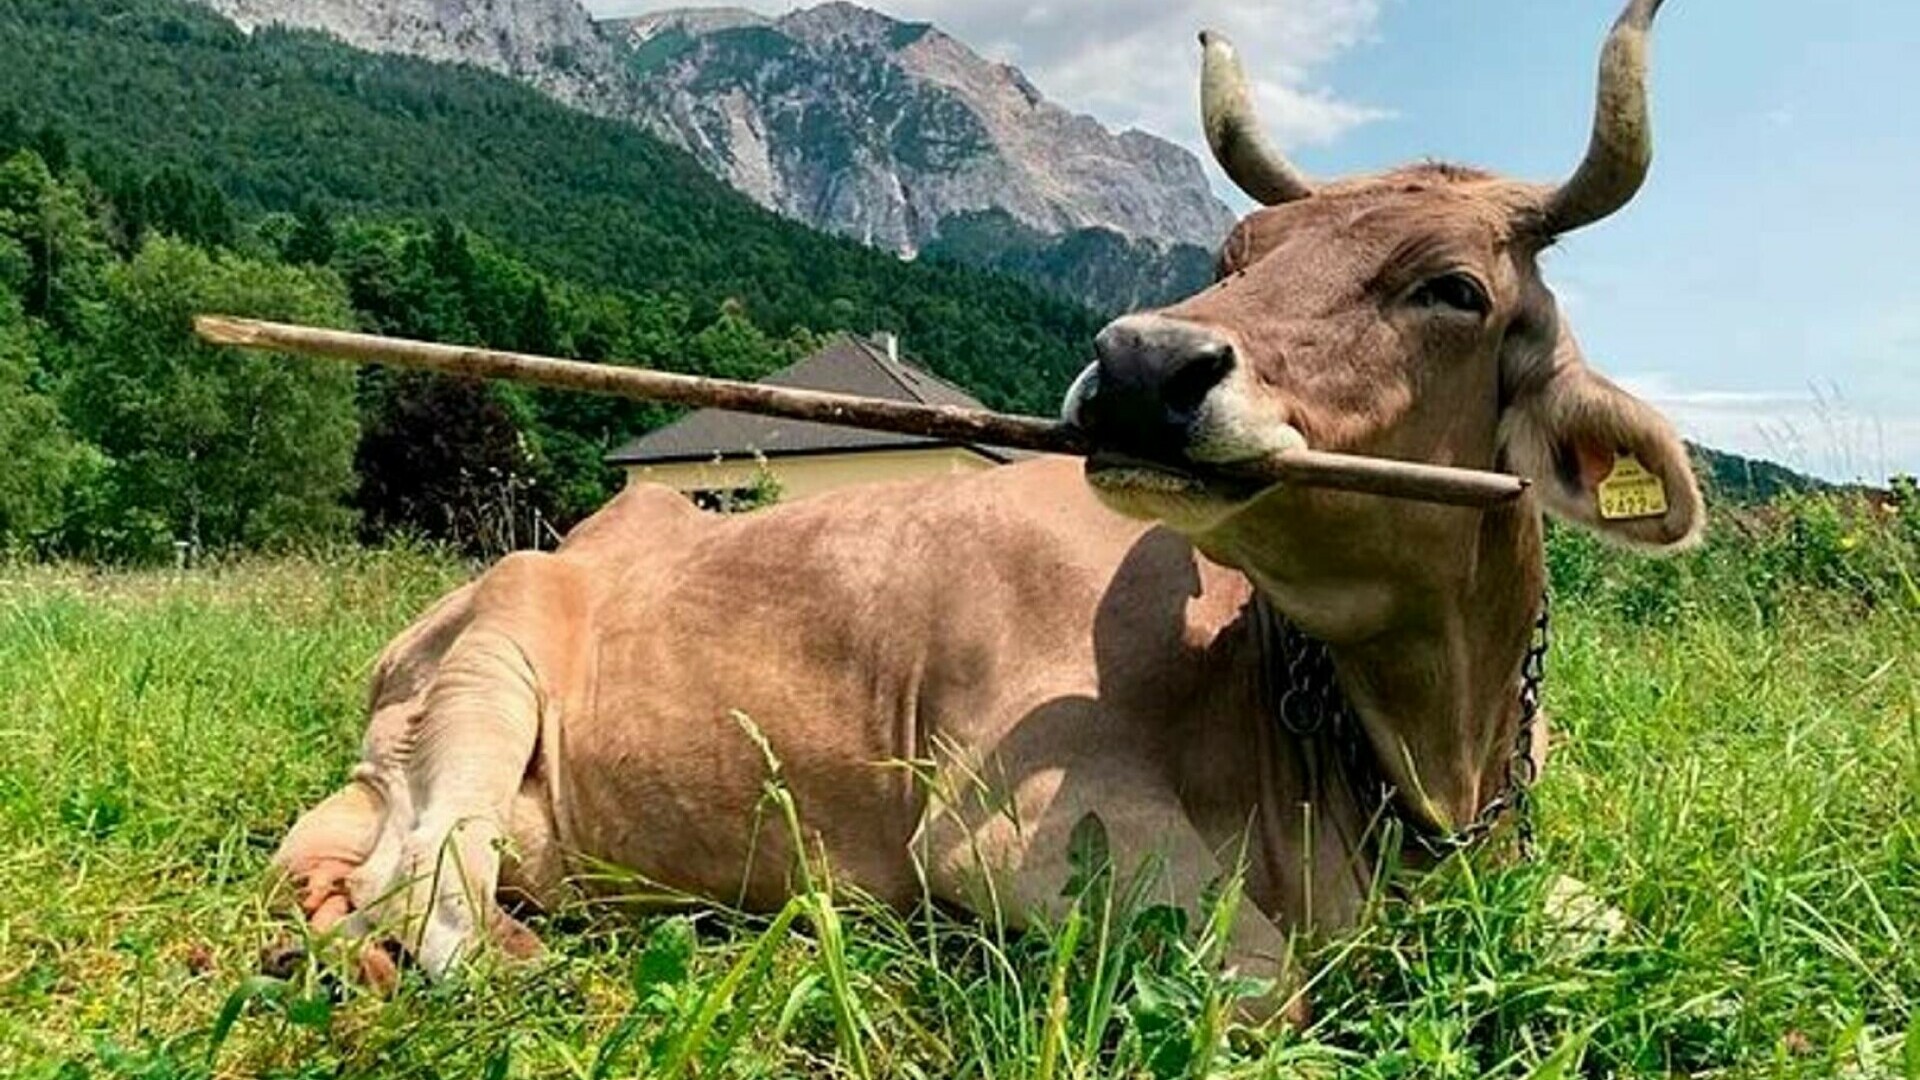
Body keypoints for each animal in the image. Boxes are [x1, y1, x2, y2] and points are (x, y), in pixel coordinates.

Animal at [271, 0, 1700, 1019]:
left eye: (1454, 289)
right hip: (491, 669)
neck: (1422, 762)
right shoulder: (1016, 829)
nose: (1139, 366)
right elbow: (1268, 987)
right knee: (424, 892)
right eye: (1236, 255)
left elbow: (1627, 926)